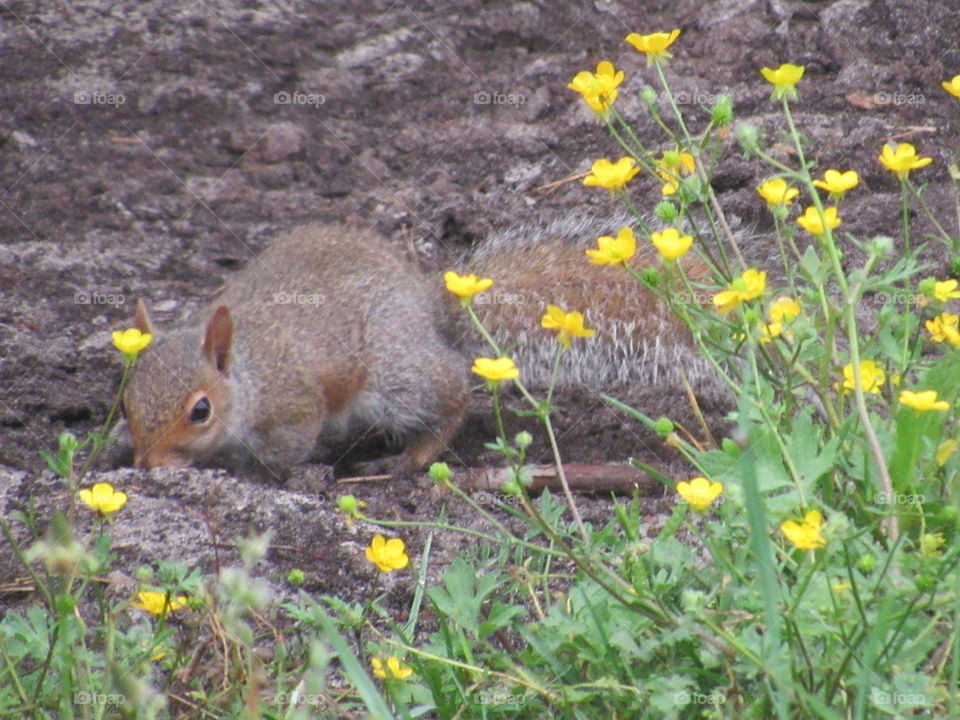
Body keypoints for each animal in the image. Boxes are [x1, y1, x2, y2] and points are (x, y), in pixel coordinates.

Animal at [120, 216, 710, 475]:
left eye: (200, 412)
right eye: (125, 402)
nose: (147, 465)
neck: (246, 374)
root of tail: (426, 302)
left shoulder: (293, 406)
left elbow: (284, 455)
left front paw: (242, 474)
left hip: (395, 380)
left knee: (452, 396)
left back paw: (411, 457)